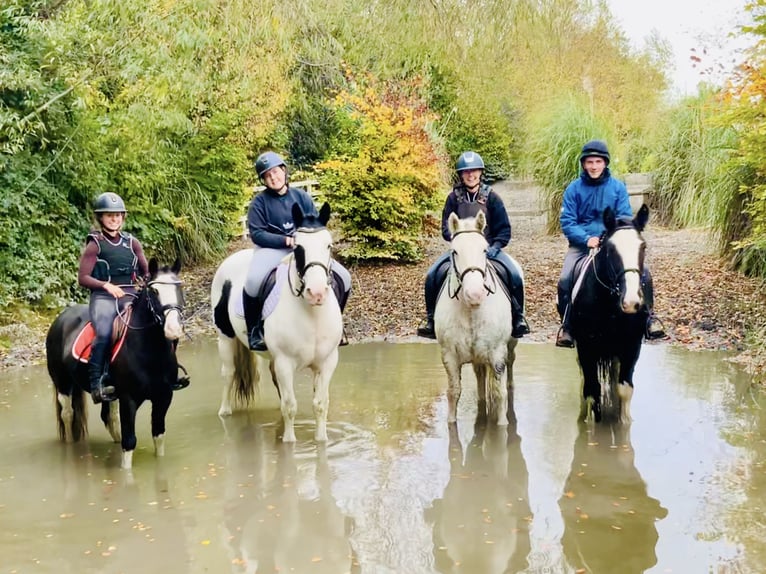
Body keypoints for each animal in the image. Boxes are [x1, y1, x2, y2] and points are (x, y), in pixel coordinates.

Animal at [45, 258, 185, 470]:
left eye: (179, 287)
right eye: (154, 291)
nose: (173, 329)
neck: (149, 351)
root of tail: (61, 318)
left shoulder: (164, 396)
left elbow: (158, 436)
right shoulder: (129, 399)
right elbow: (129, 442)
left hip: (109, 392)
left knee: (109, 417)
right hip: (63, 383)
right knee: (67, 414)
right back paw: (70, 447)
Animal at [210, 205, 342, 444]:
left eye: (328, 245)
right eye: (298, 247)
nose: (317, 293)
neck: (311, 315)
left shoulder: (327, 362)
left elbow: (320, 405)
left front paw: (321, 440)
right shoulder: (285, 363)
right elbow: (290, 407)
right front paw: (288, 443)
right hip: (225, 339)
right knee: (229, 373)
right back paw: (224, 411)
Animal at [436, 214, 520, 426]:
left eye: (484, 249)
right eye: (455, 251)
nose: (474, 294)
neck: (471, 310)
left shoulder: (497, 353)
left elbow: (499, 395)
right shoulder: (449, 355)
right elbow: (453, 393)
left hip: (511, 344)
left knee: (511, 363)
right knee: (479, 376)